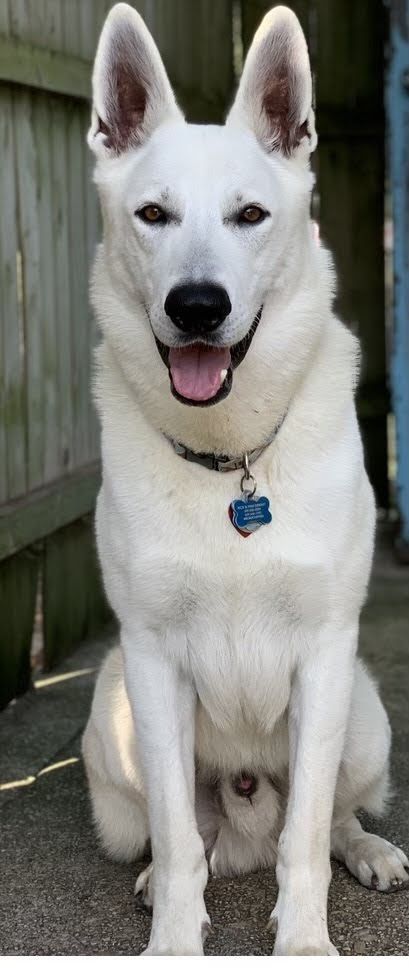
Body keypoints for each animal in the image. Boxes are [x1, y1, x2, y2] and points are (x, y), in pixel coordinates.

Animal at [81, 0, 406, 952]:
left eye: (250, 214)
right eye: (153, 214)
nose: (196, 307)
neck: (233, 461)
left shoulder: (326, 655)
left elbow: (304, 839)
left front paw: (302, 942)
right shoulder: (152, 660)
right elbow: (179, 838)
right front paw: (172, 944)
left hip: (365, 715)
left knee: (324, 816)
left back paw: (365, 850)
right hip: (110, 726)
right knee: (184, 836)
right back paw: (161, 877)